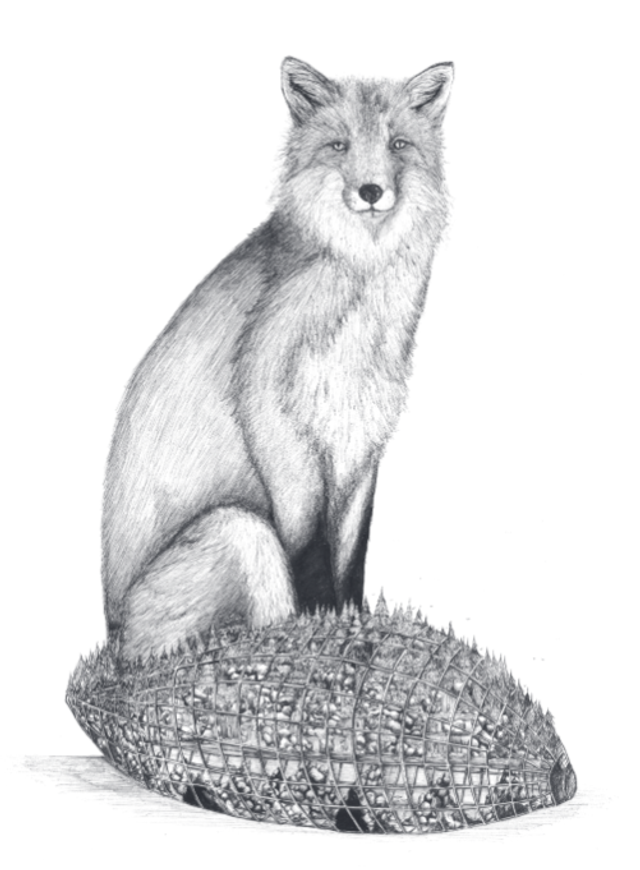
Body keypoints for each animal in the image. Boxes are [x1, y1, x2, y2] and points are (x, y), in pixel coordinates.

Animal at [103, 57, 454, 661]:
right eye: (339, 145)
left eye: (399, 144)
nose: (371, 190)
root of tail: (110, 632)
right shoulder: (274, 416)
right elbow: (310, 548)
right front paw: (322, 620)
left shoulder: (358, 442)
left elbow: (352, 553)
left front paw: (351, 616)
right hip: (240, 530)